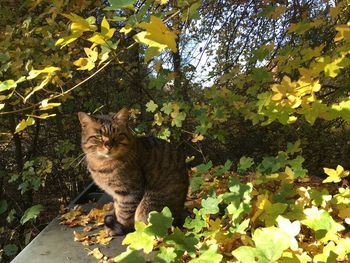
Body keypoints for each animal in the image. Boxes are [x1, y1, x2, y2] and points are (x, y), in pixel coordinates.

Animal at [77, 108, 189, 236]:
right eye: (98, 136)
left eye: (118, 135)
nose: (108, 145)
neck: (102, 164)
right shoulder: (117, 195)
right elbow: (117, 210)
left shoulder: (129, 193)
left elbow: (124, 214)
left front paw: (121, 228)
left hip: (149, 206)